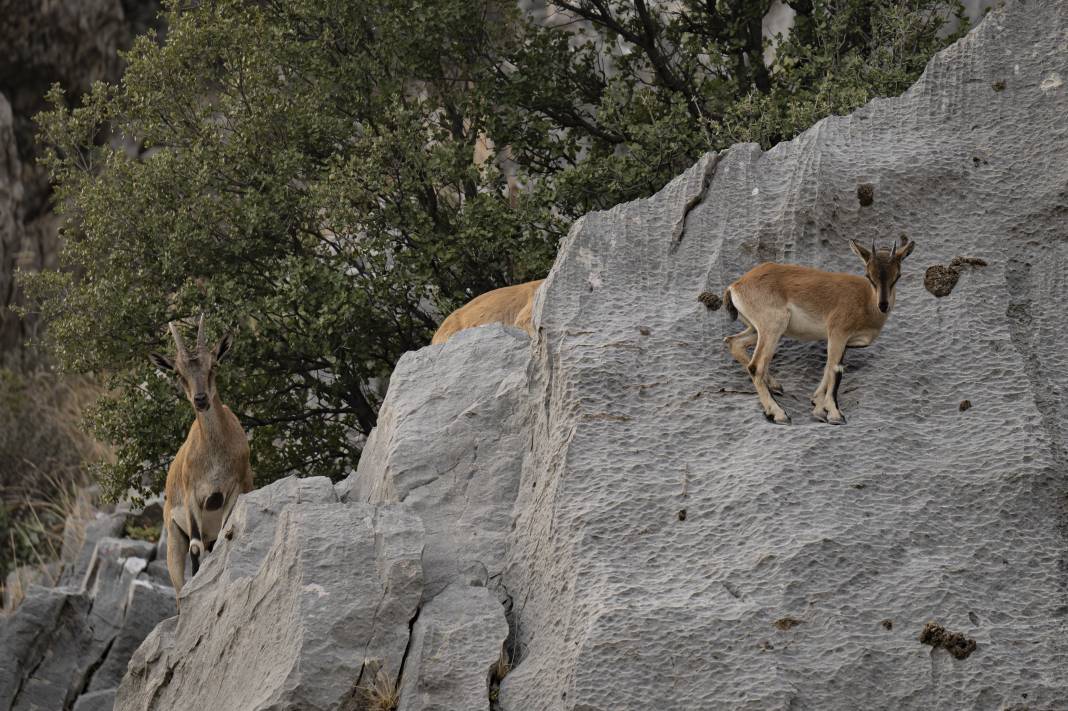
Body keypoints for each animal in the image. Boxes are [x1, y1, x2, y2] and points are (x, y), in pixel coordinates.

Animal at [721, 238, 914, 422]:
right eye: (869, 275)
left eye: (897, 275)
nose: (883, 305)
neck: (865, 299)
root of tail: (736, 285)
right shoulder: (838, 334)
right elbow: (835, 370)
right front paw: (835, 414)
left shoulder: (843, 342)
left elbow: (828, 367)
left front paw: (819, 406)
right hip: (772, 328)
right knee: (755, 366)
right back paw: (779, 414)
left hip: (758, 330)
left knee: (734, 342)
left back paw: (775, 386)